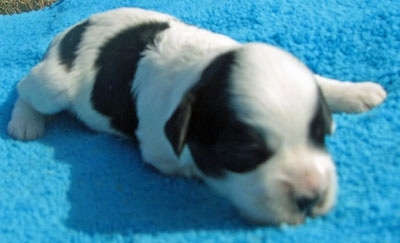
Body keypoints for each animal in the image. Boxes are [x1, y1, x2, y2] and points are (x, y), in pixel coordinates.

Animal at [7, 7, 388, 225]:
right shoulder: (158, 148)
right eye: (245, 153)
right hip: (54, 85)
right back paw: (25, 123)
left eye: (320, 135)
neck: (201, 68)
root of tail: (68, 31)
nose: (311, 198)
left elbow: (320, 81)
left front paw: (358, 92)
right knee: (25, 87)